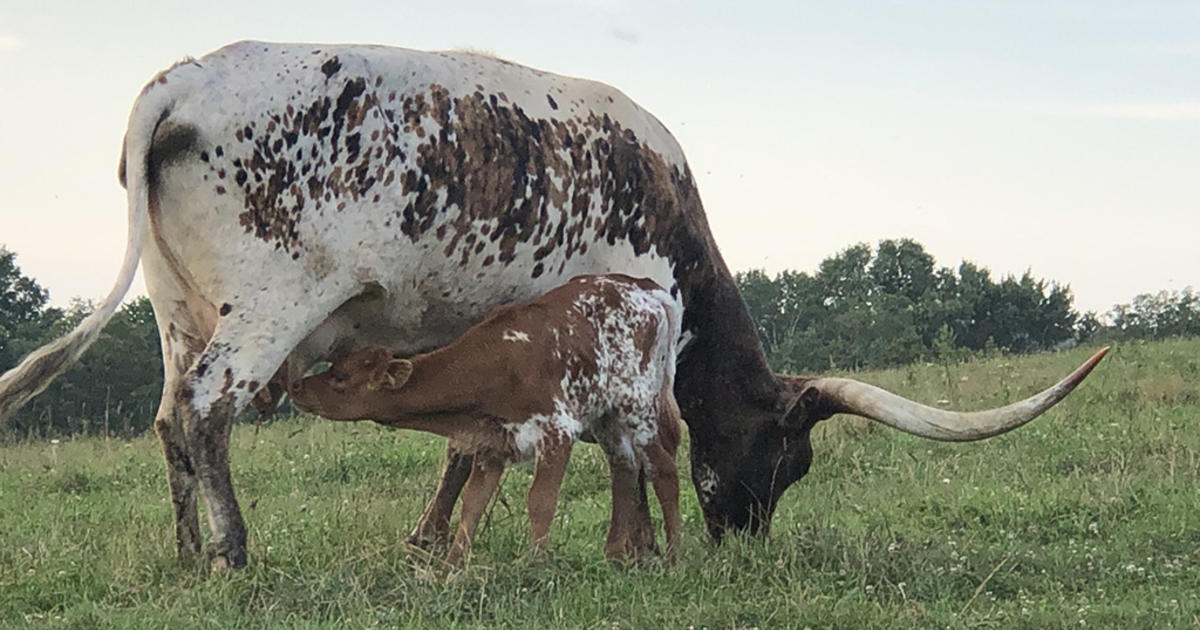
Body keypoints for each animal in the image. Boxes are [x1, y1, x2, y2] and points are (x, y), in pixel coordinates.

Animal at [291, 272, 686, 561]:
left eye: (341, 378)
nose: (296, 385)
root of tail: (642, 286)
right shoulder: (491, 445)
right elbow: (472, 506)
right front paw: (450, 570)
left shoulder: (557, 431)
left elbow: (540, 501)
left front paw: (535, 565)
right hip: (608, 419)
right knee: (624, 468)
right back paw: (615, 554)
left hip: (637, 408)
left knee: (664, 469)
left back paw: (673, 557)